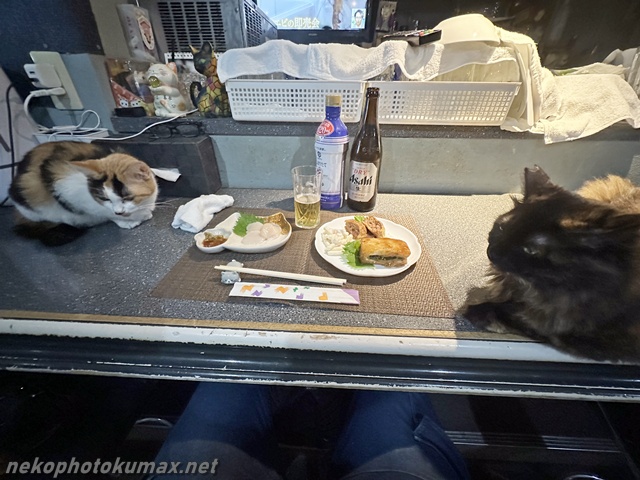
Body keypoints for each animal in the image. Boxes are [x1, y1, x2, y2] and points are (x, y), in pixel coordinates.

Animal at [8, 141, 158, 246]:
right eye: (105, 199)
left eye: (128, 197)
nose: (119, 212)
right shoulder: (67, 191)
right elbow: (105, 213)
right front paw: (128, 220)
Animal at [459, 165, 640, 363]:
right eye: (501, 228)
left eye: (531, 250)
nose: (492, 252)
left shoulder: (589, 338)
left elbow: (527, 318)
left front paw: (476, 310)